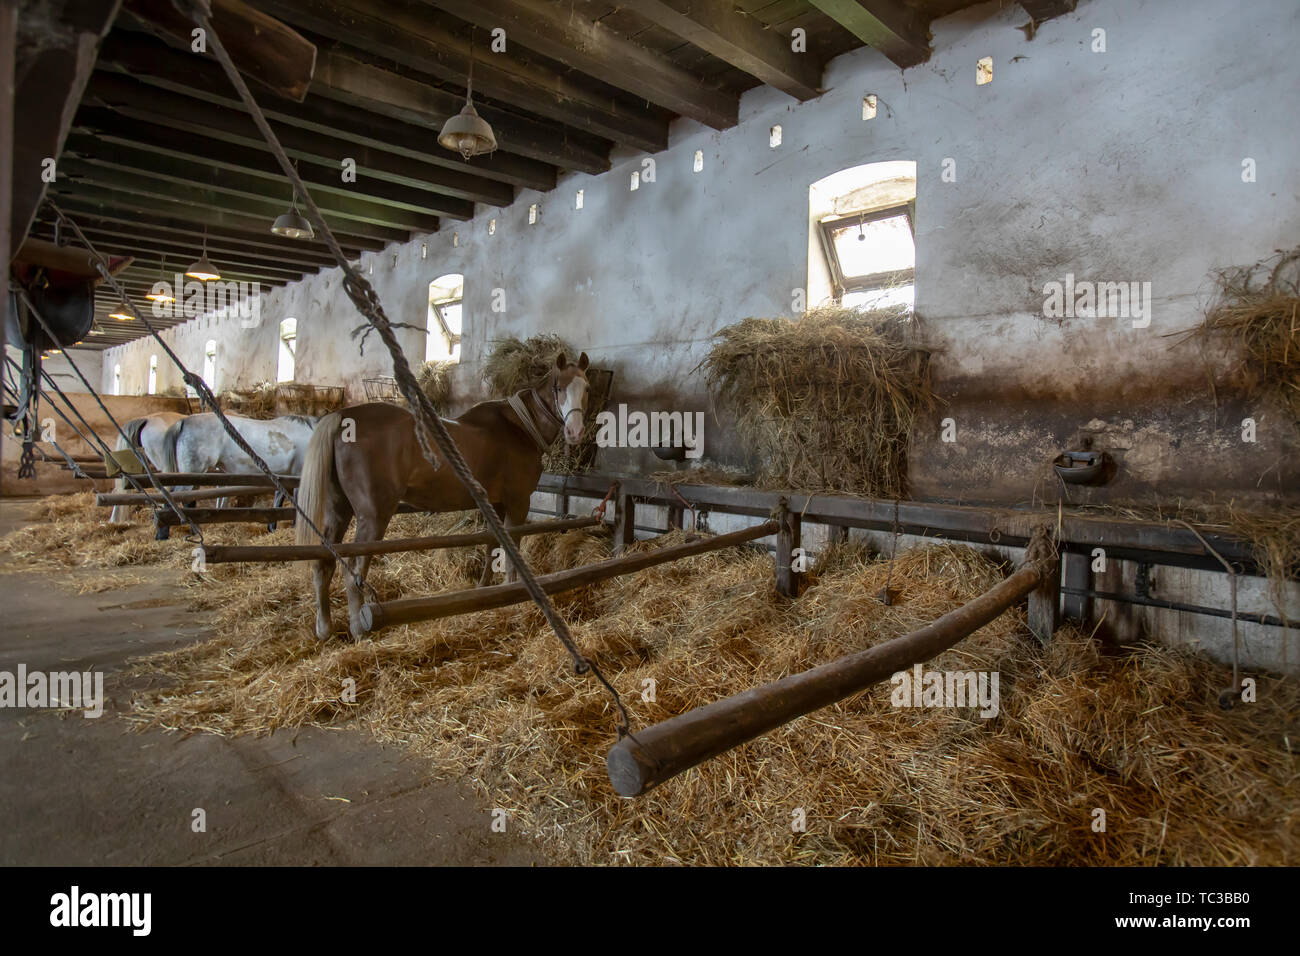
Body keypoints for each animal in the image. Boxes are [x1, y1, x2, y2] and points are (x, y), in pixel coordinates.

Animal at [297, 348, 592, 634]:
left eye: (586, 388)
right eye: (559, 387)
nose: (575, 432)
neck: (518, 428)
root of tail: (343, 418)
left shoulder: (495, 505)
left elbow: (491, 548)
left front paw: (485, 589)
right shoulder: (518, 503)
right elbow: (511, 554)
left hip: (339, 510)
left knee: (323, 564)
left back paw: (324, 628)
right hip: (373, 517)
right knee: (352, 572)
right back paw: (358, 628)